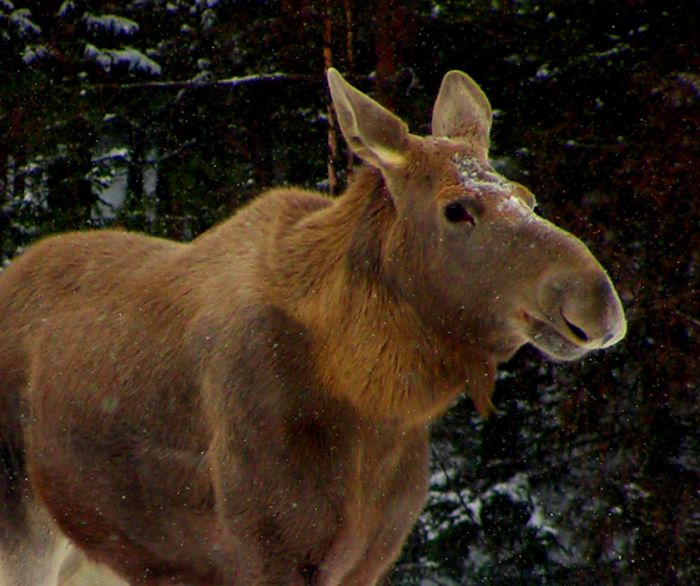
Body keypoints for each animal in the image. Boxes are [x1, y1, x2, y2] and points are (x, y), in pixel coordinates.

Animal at [0, 67, 624, 580]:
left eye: (528, 196)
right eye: (456, 209)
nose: (597, 303)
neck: (373, 405)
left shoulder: (366, 561)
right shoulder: (264, 553)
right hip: (25, 534)